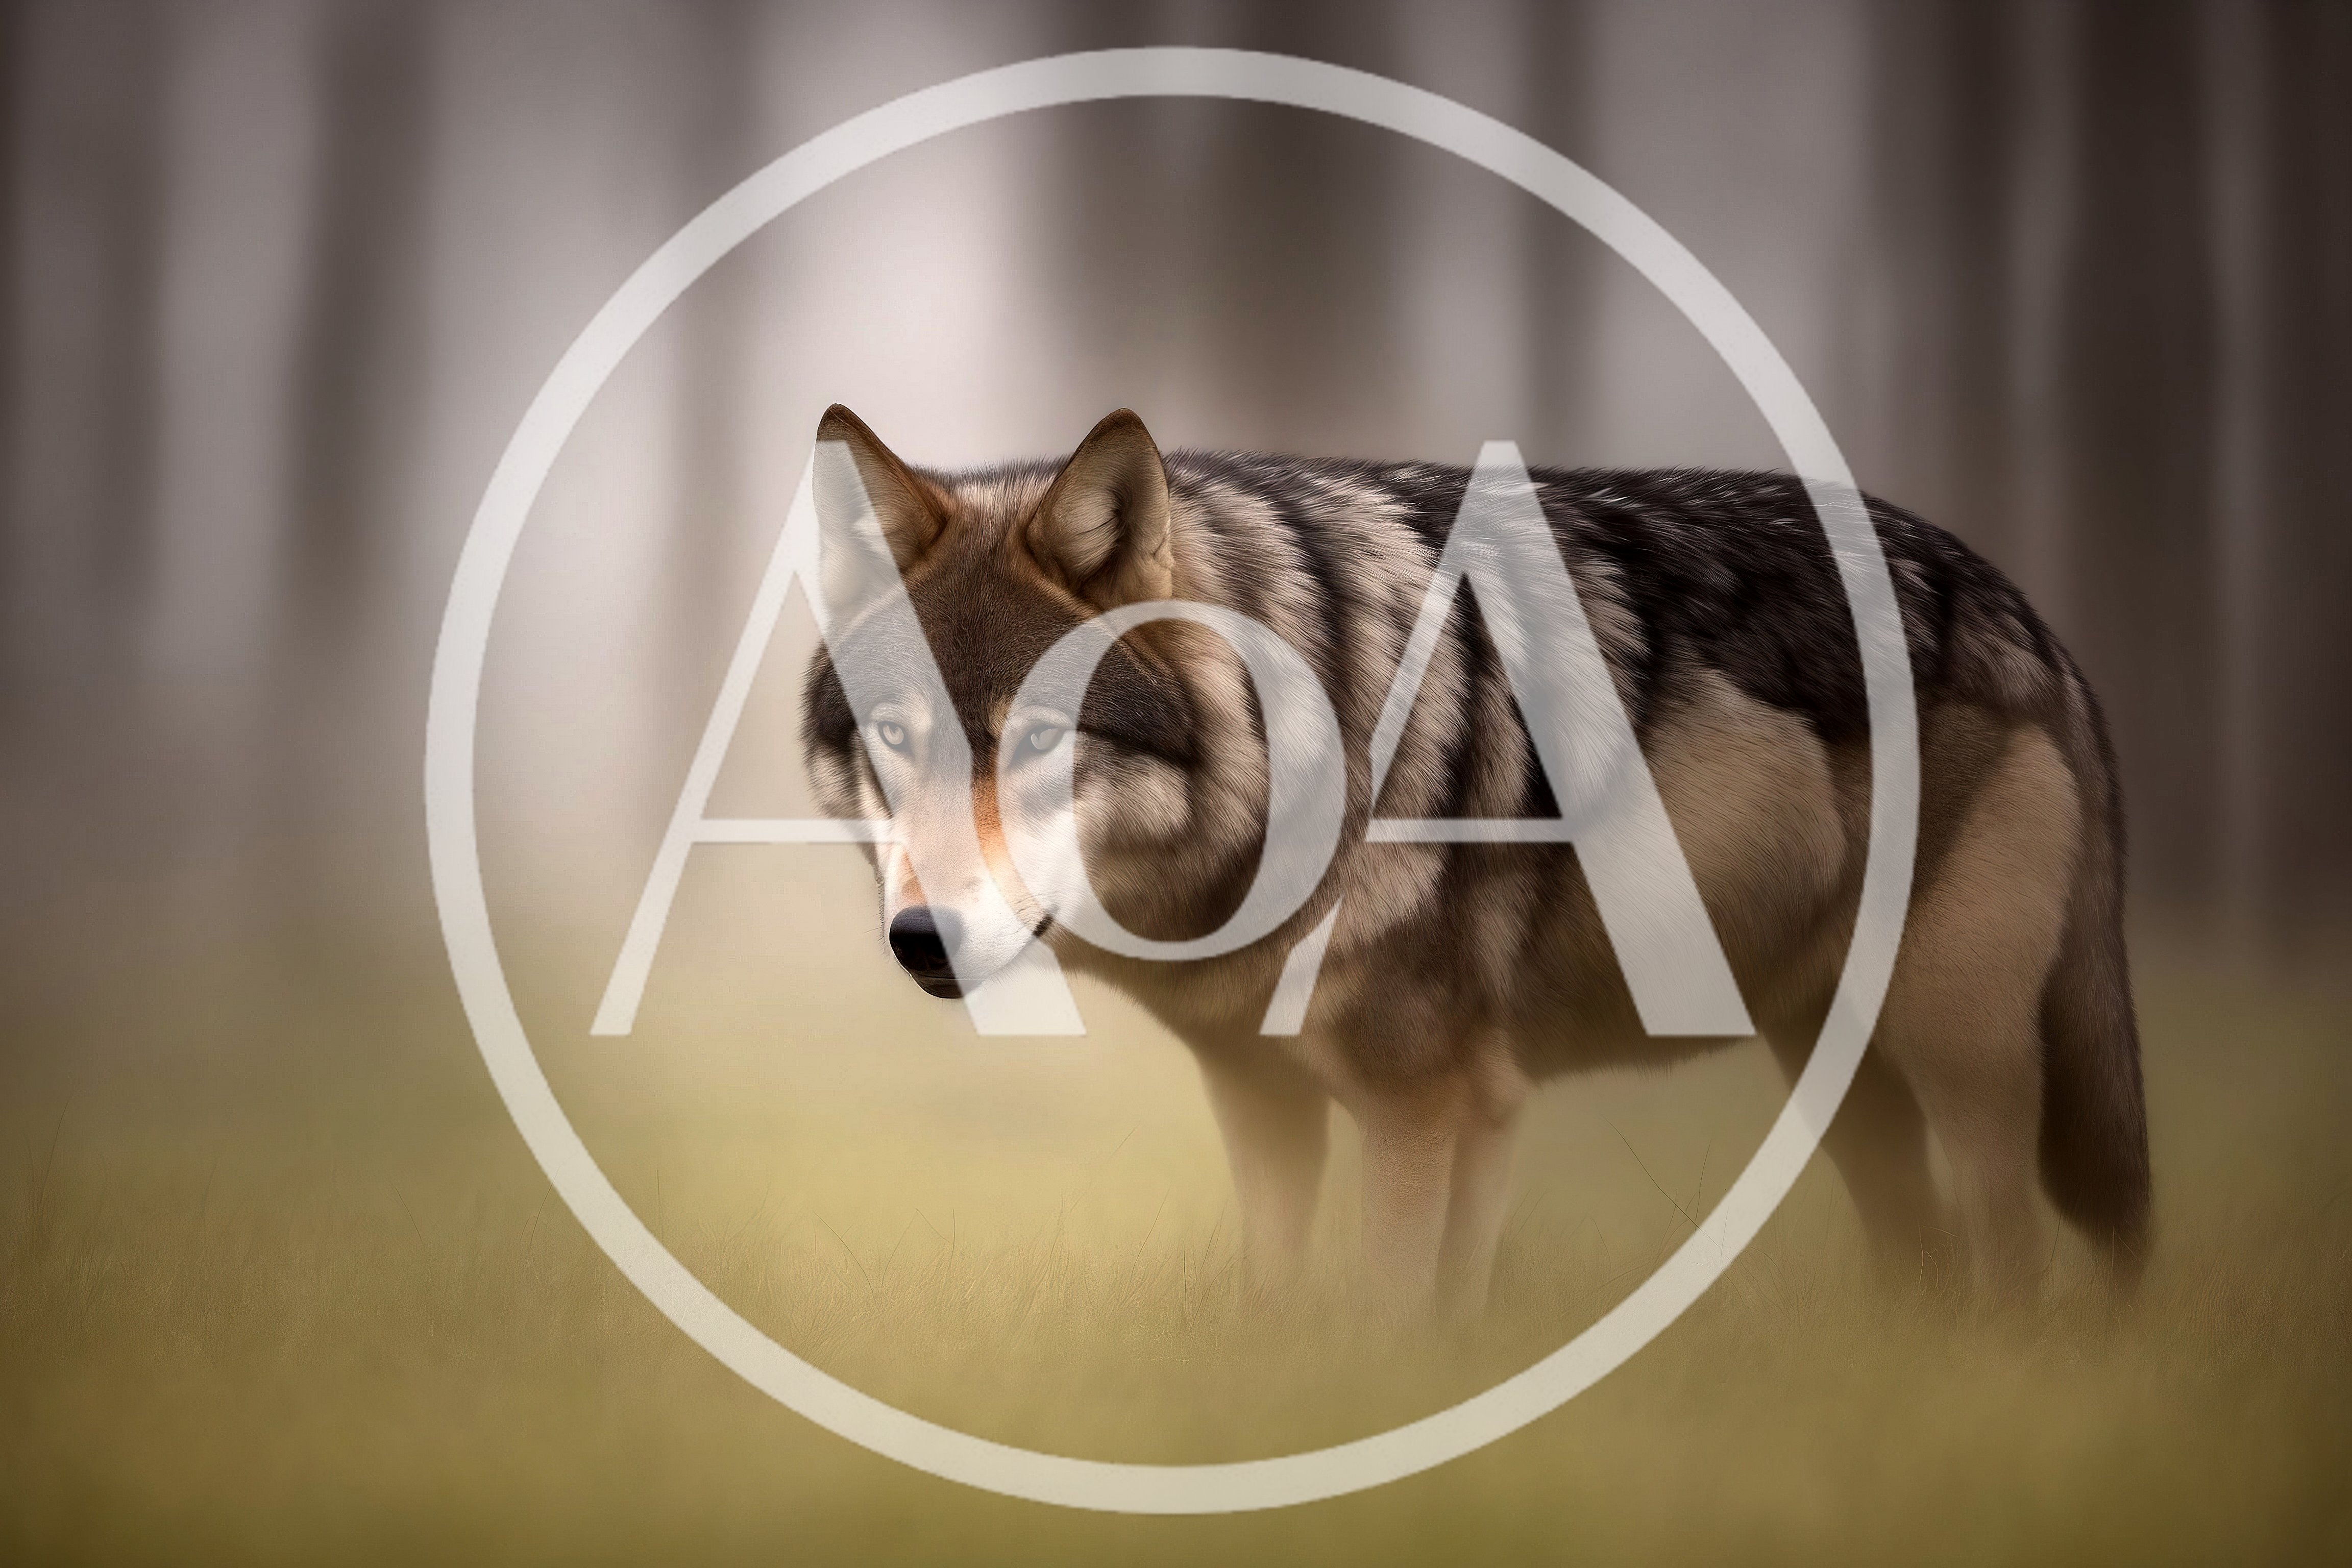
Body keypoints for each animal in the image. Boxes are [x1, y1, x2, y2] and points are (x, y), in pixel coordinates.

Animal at [799, 403, 2151, 1318]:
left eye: (1037, 738)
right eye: (894, 738)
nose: (922, 942)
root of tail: (2027, 613)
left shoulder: (1425, 1104)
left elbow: (1392, 1316)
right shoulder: (1274, 1103)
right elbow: (1298, 1303)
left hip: (1956, 1054)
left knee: (2015, 1256)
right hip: (1835, 1078)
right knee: (1926, 1261)